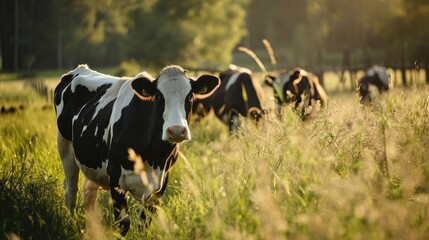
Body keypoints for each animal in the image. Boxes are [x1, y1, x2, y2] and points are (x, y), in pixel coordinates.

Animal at [54, 64, 219, 236]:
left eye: (190, 97)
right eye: (158, 97)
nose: (176, 130)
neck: (154, 157)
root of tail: (81, 69)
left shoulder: (161, 183)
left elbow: (143, 224)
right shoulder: (115, 178)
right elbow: (123, 223)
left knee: (89, 193)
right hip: (65, 148)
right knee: (70, 191)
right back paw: (72, 224)